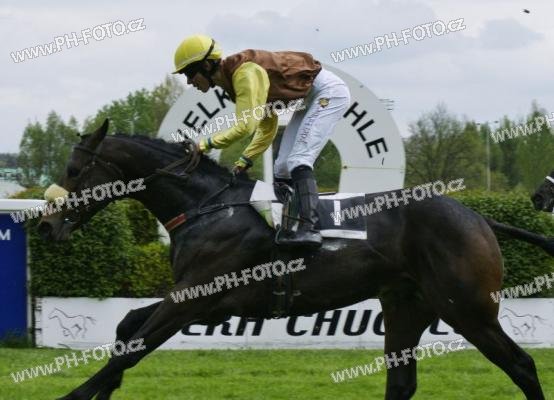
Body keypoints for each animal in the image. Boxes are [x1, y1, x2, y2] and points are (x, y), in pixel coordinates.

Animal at [38, 119, 549, 400]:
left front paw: (75, 395)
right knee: (401, 381)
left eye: (73, 169)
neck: (206, 204)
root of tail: (478, 216)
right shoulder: (203, 301)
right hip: (407, 305)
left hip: (467, 309)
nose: (44, 226)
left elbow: (132, 347)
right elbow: (127, 328)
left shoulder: (194, 298)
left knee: (522, 365)